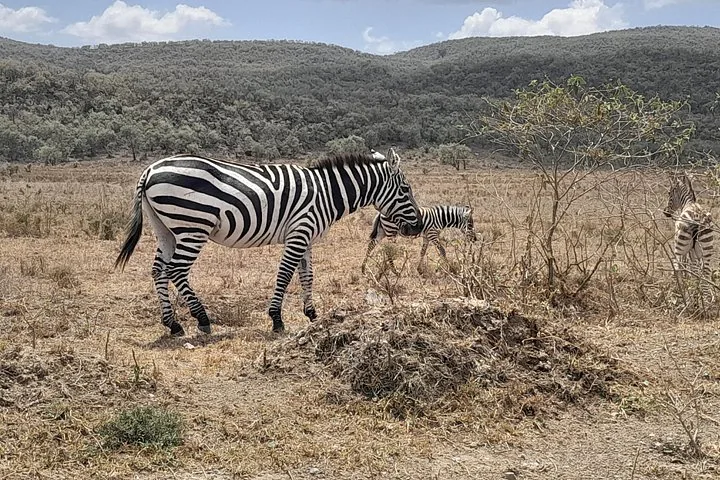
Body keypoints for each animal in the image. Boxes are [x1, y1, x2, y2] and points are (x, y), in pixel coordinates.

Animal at [115, 148, 423, 336]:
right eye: (406, 189)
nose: (418, 225)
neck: (326, 192)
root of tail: (150, 170)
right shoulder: (300, 232)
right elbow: (285, 275)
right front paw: (276, 318)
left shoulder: (306, 235)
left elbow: (307, 275)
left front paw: (312, 315)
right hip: (192, 226)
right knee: (176, 270)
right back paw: (202, 319)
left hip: (166, 229)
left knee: (158, 270)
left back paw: (173, 324)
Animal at [663, 173, 714, 303]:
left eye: (669, 193)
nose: (665, 212)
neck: (689, 203)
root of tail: (697, 218)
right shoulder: (695, 252)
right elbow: (694, 269)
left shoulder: (687, 250)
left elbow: (688, 268)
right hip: (707, 248)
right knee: (706, 272)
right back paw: (704, 299)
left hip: (679, 246)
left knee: (676, 266)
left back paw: (681, 294)